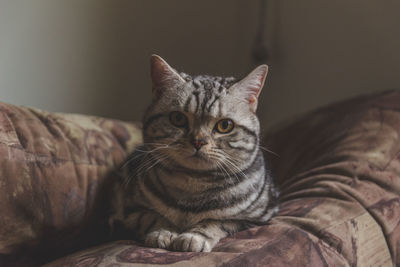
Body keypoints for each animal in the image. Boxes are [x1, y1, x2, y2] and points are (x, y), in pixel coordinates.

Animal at [109, 55, 278, 253]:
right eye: (178, 118)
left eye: (225, 125)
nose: (198, 141)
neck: (194, 183)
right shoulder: (131, 210)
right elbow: (153, 217)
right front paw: (164, 232)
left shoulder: (255, 219)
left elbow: (215, 221)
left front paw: (193, 236)